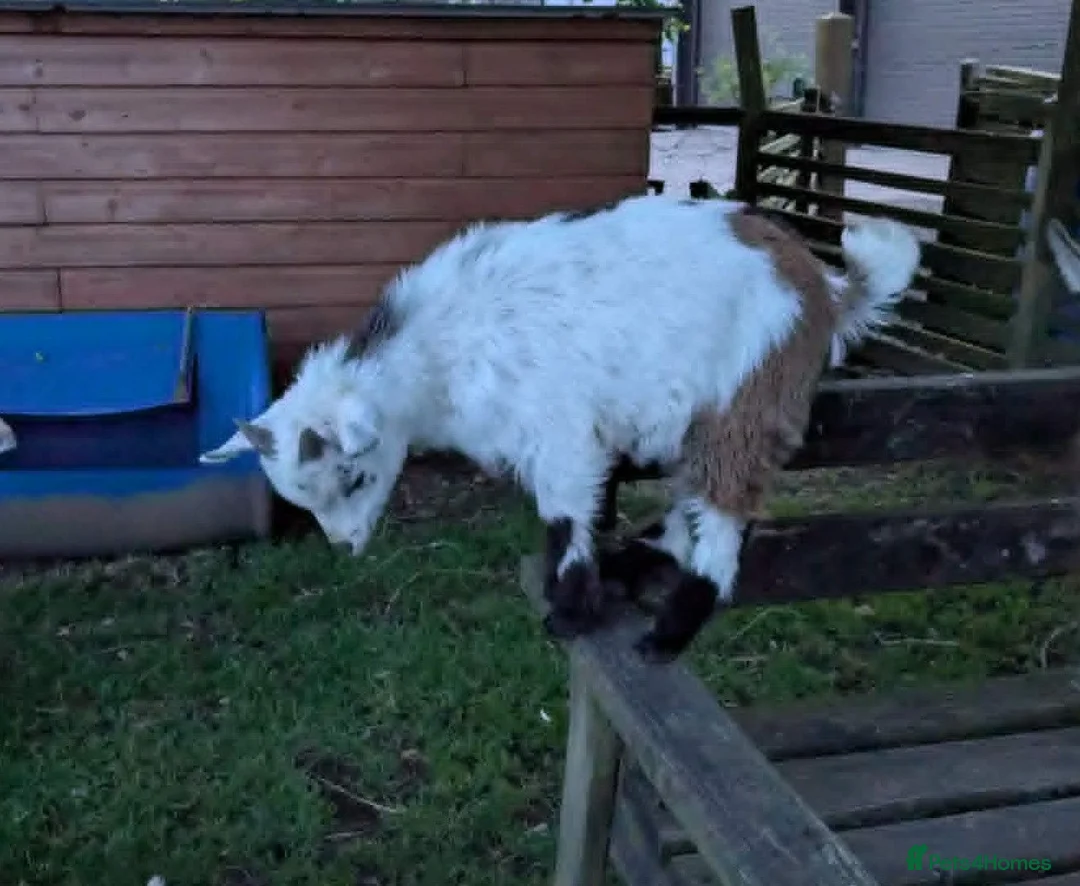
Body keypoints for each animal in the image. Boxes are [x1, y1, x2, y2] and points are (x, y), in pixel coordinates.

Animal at [199, 195, 920, 662]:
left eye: (352, 477)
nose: (346, 547)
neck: (444, 348)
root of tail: (826, 288)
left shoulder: (562, 432)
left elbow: (565, 515)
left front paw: (569, 609)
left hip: (742, 396)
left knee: (723, 515)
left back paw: (669, 633)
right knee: (696, 502)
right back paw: (637, 561)